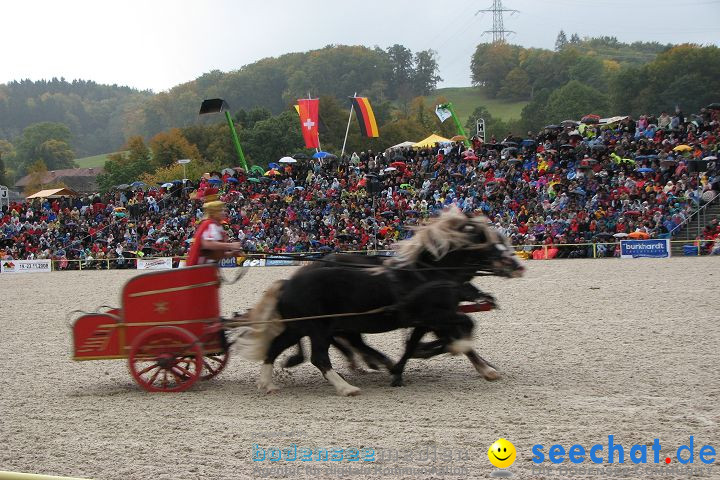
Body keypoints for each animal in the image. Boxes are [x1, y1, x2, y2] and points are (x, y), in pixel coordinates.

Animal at [236, 208, 524, 396]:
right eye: (492, 245)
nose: (519, 266)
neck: (428, 273)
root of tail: (287, 282)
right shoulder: (435, 315)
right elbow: (465, 327)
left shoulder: (428, 320)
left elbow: (419, 343)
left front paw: (485, 370)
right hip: (318, 327)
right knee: (319, 357)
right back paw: (346, 387)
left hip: (300, 326)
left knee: (275, 347)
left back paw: (268, 384)